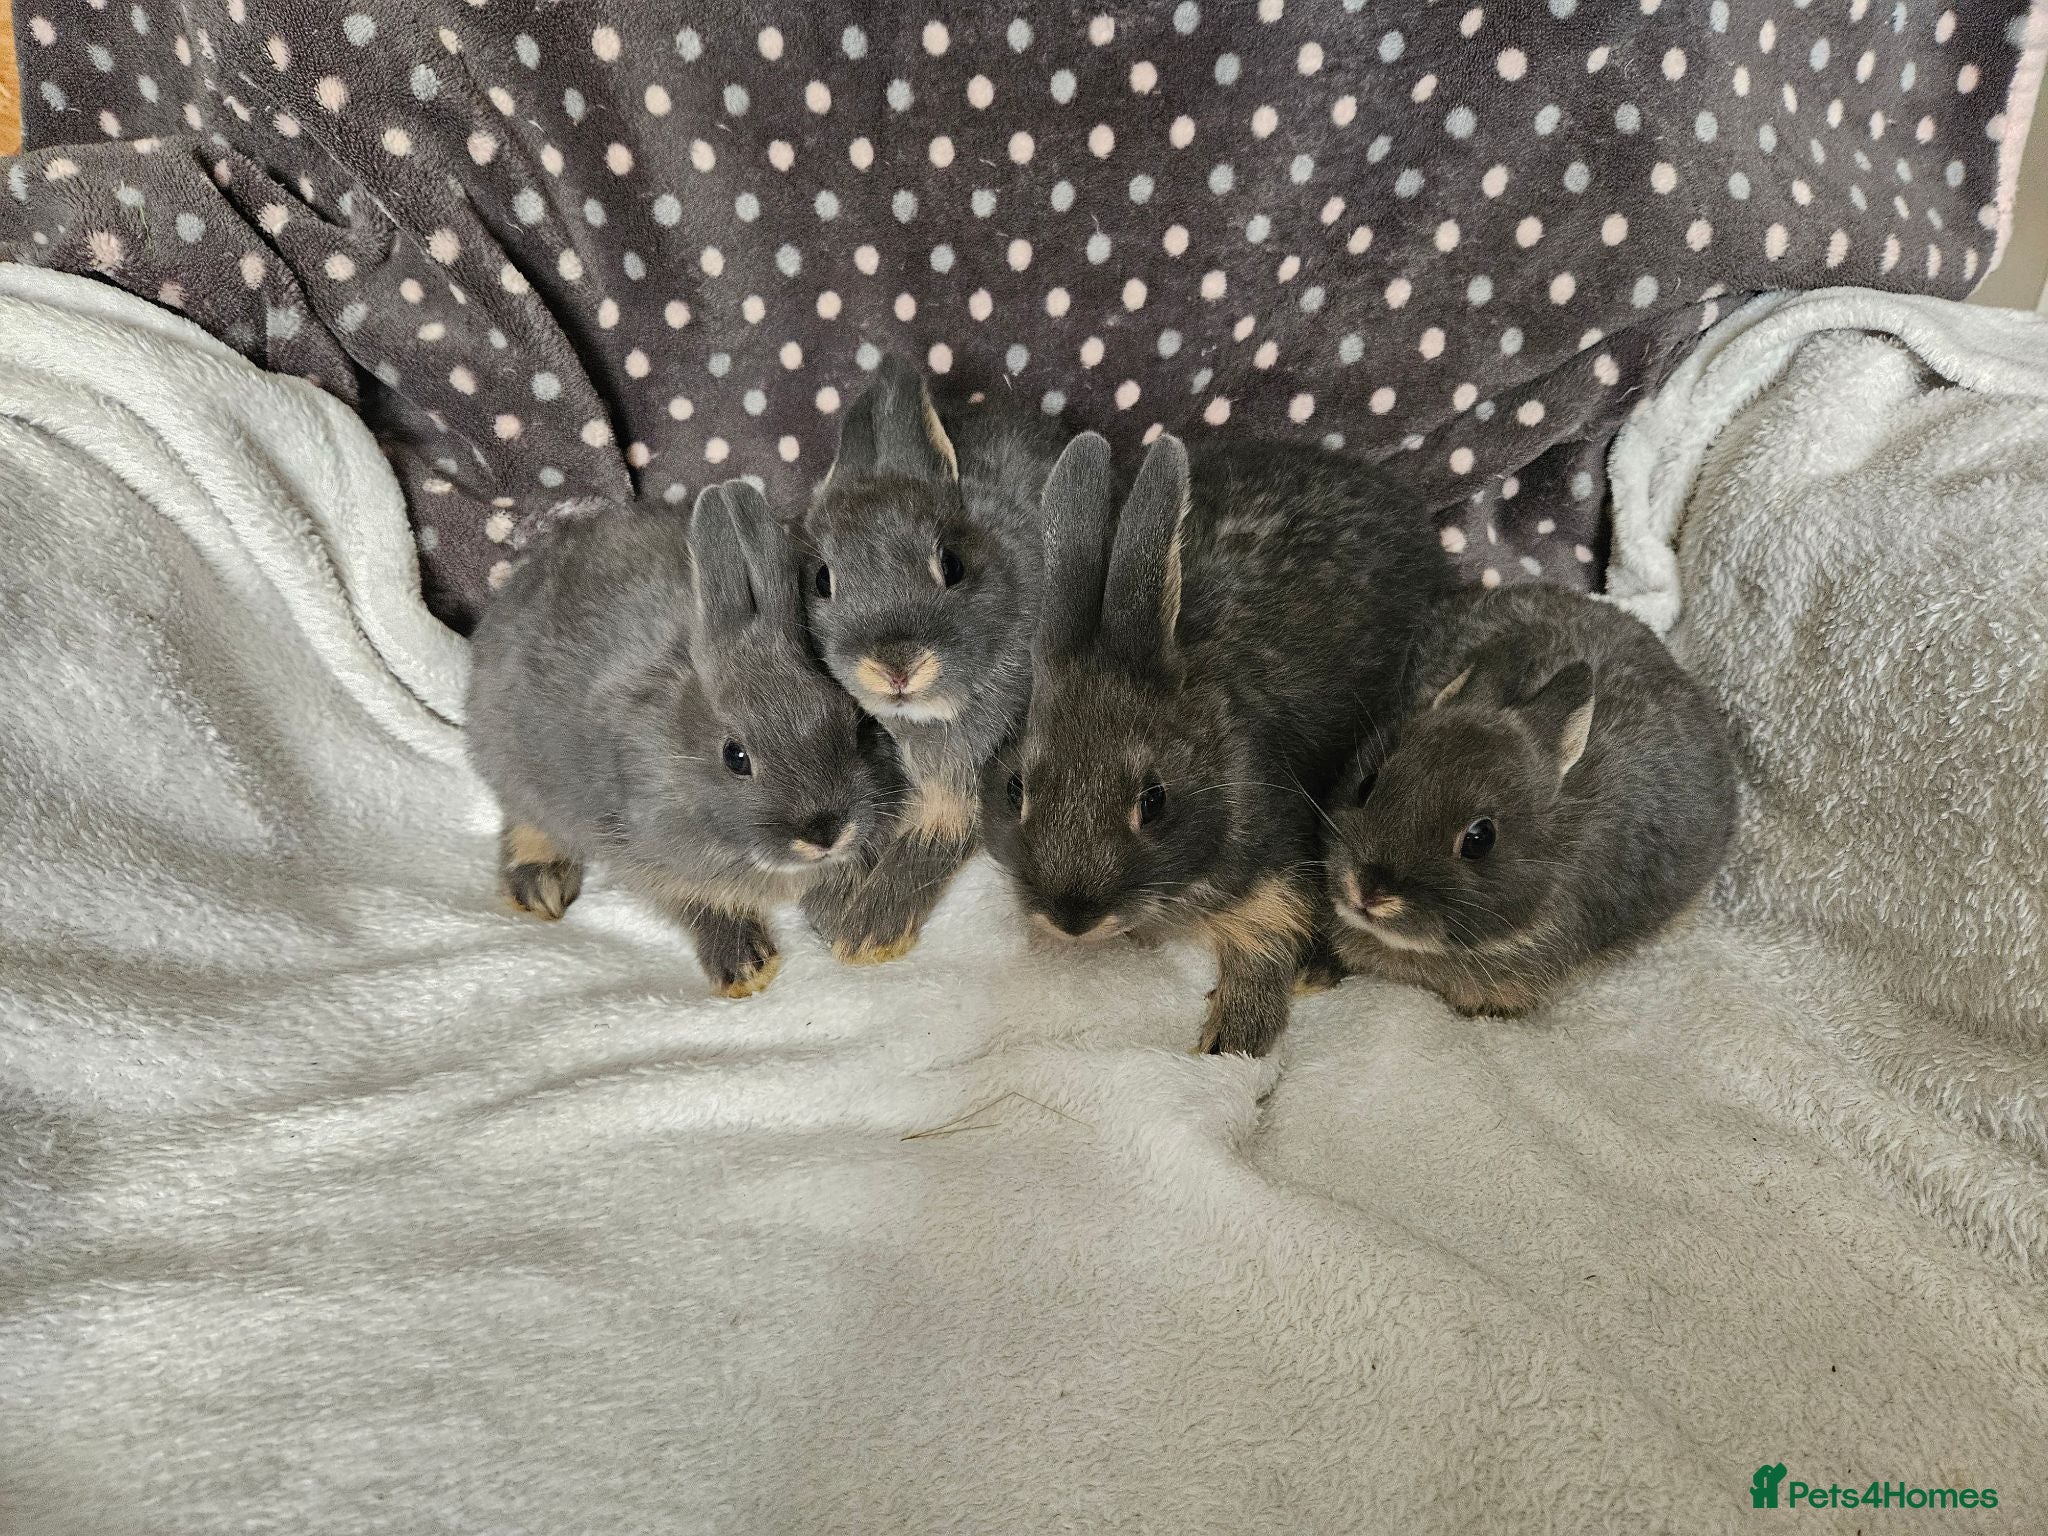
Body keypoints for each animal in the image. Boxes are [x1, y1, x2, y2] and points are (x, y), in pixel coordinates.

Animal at [465, 480, 892, 997]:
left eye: (855, 724)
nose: (826, 834)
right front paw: (745, 968)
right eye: (735, 757)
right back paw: (538, 885)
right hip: (513, 761)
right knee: (525, 818)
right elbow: (700, 903)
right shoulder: (651, 854)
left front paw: (849, 926)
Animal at [792, 355, 1068, 963]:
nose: (895, 665)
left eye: (953, 563)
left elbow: (930, 839)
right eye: (821, 579)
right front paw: (830, 909)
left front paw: (864, 934)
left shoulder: (958, 782)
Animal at [982, 431, 1455, 1057]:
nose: (1072, 917)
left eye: (1154, 801)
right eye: (1015, 789)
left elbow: (1267, 939)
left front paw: (1230, 1041)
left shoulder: (1276, 859)